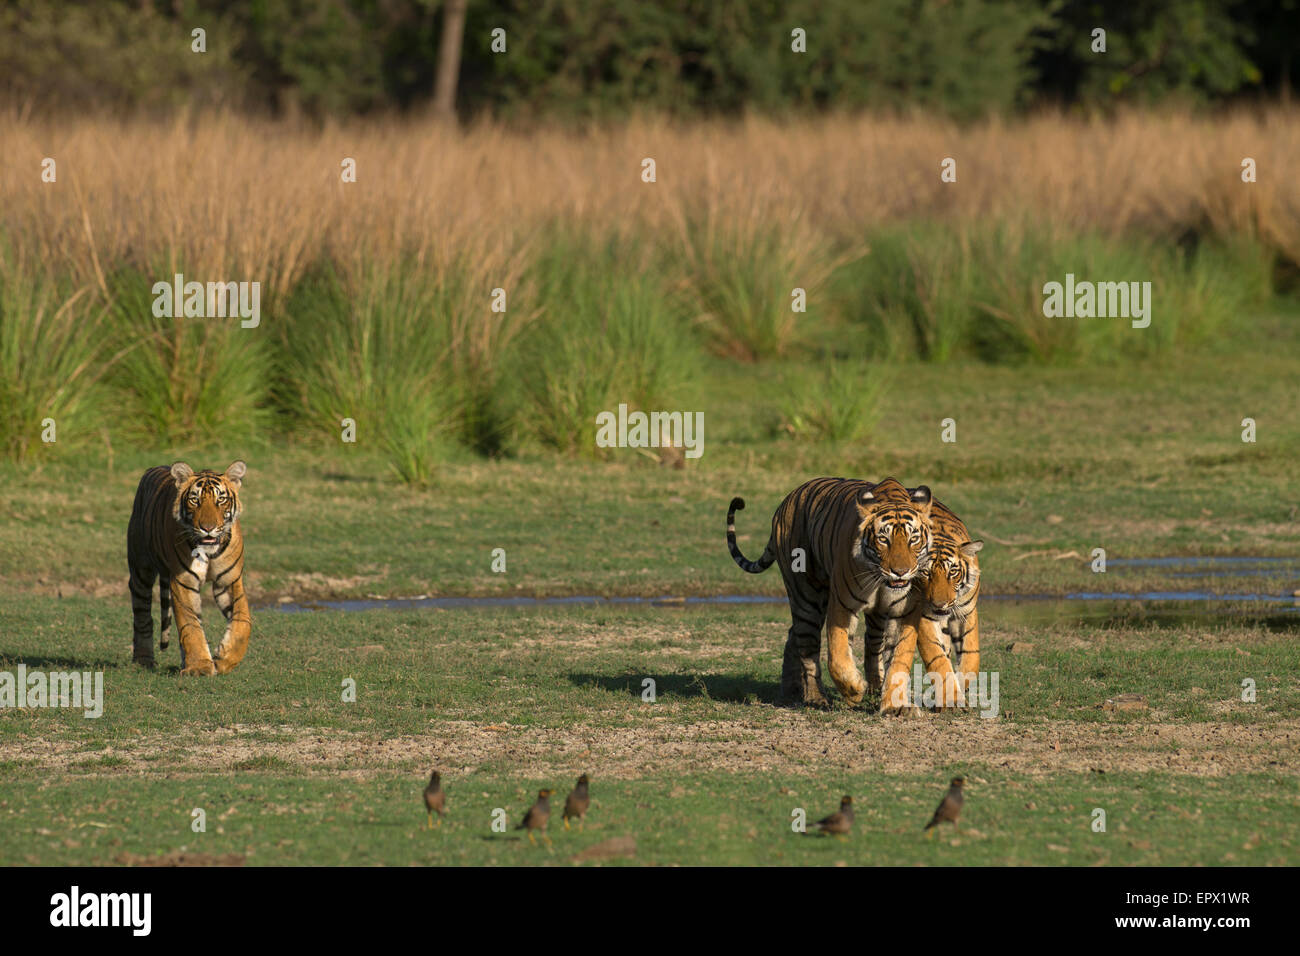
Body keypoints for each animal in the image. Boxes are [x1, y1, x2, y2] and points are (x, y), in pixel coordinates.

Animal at [129, 463, 253, 676]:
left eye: (221, 499)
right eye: (195, 500)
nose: (208, 528)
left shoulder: (229, 581)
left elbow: (242, 622)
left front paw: (224, 658)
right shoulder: (183, 581)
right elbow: (190, 626)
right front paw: (200, 667)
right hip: (140, 569)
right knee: (142, 616)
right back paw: (143, 660)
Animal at [733, 476, 935, 707]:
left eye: (913, 539)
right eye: (884, 540)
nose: (900, 572)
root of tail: (787, 499)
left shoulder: (903, 612)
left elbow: (899, 657)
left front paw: (896, 704)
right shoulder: (843, 604)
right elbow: (838, 657)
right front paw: (854, 690)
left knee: (797, 635)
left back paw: (791, 690)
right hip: (806, 595)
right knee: (807, 645)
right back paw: (814, 696)